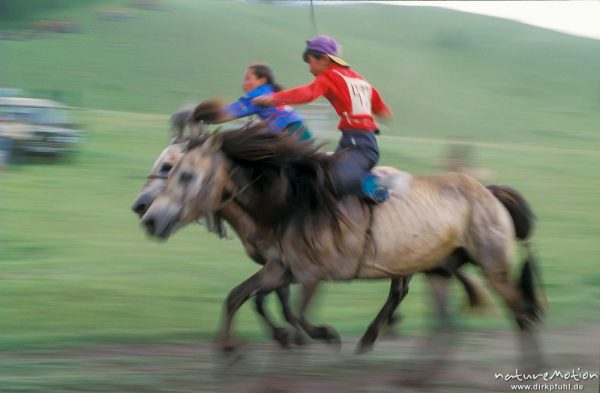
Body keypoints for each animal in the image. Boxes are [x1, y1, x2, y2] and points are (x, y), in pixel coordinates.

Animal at [142, 126, 544, 356]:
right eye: (169, 169)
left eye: (181, 172)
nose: (147, 216)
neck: (289, 203)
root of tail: (489, 192)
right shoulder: (281, 267)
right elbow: (242, 297)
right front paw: (230, 347)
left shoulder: (312, 273)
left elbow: (293, 311)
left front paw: (321, 335)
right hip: (437, 267)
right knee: (437, 315)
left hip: (492, 264)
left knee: (520, 312)